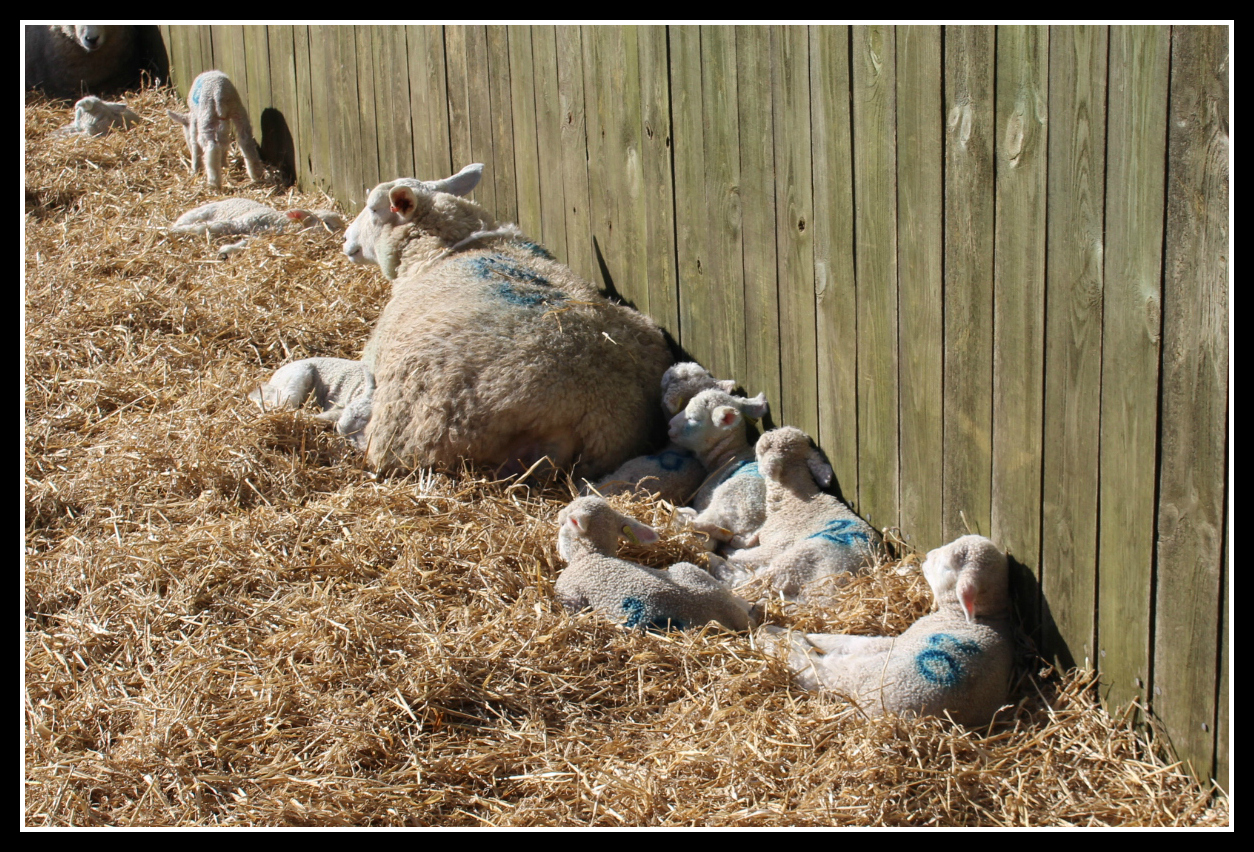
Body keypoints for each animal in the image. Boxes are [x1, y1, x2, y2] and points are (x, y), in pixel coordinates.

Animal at [556, 496, 752, 629]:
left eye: (562, 523)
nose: (558, 514)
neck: (593, 554)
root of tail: (730, 614)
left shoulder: (569, 593)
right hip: (689, 570)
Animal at [722, 424, 877, 599]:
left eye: (766, 445)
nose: (760, 438)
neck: (795, 498)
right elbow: (756, 534)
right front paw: (740, 539)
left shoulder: (777, 544)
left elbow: (751, 554)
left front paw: (735, 549)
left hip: (798, 559)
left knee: (762, 577)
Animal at [762, 532, 1018, 727]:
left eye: (946, 567)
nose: (928, 556)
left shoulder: (901, 639)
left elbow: (852, 641)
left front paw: (805, 635)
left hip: (859, 674)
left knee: (816, 670)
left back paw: (780, 637)